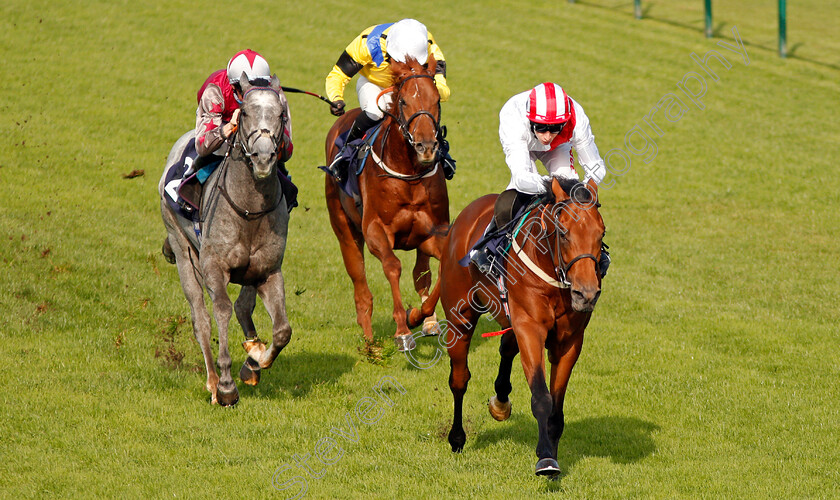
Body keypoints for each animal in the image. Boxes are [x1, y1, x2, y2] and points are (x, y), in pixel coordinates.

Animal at [160, 75, 292, 406]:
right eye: (244, 113)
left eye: (281, 115)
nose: (263, 158)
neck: (249, 208)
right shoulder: (213, 267)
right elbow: (221, 310)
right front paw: (227, 385)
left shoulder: (268, 271)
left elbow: (282, 330)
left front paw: (256, 359)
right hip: (182, 250)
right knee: (201, 318)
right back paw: (212, 381)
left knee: (245, 306)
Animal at [324, 55, 450, 352]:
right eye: (403, 101)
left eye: (436, 99)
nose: (426, 147)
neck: (409, 175)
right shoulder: (375, 231)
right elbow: (393, 266)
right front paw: (402, 330)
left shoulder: (432, 232)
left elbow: (437, 271)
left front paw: (418, 316)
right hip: (345, 230)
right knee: (361, 286)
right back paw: (369, 340)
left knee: (421, 273)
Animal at [420, 177, 604, 476]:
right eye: (563, 233)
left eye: (601, 233)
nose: (586, 294)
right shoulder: (530, 329)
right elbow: (541, 397)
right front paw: (546, 460)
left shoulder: (569, 341)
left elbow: (557, 410)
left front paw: (552, 455)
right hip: (461, 318)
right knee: (459, 379)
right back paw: (457, 438)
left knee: (506, 347)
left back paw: (500, 402)